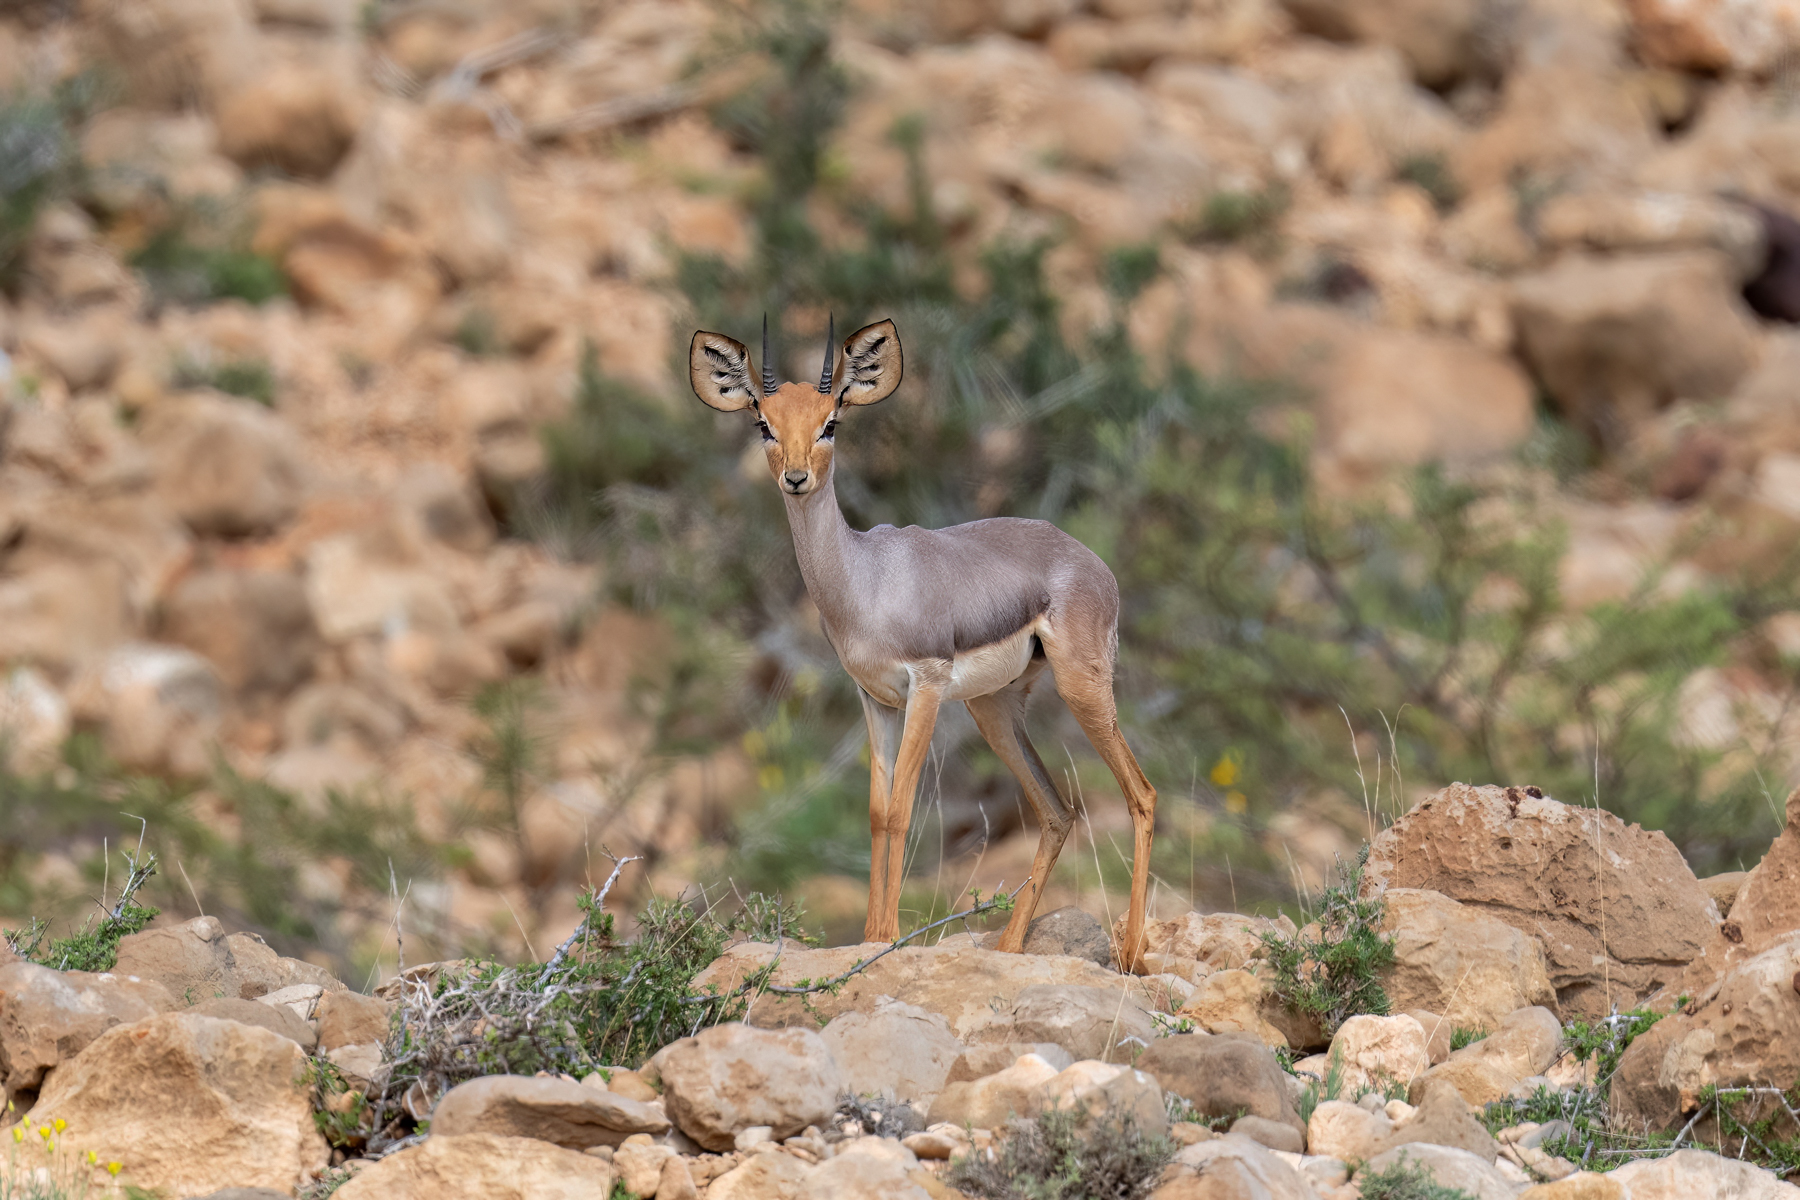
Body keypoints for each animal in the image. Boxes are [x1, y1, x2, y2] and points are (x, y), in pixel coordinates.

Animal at [680, 314, 1159, 971]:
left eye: (831, 422)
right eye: (763, 423)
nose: (796, 478)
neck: (866, 580)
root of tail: (1093, 563)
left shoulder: (925, 688)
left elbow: (904, 810)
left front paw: (885, 940)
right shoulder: (875, 700)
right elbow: (878, 813)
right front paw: (872, 936)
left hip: (1081, 690)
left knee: (1141, 794)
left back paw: (1132, 953)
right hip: (993, 710)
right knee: (1057, 812)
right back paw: (1009, 948)